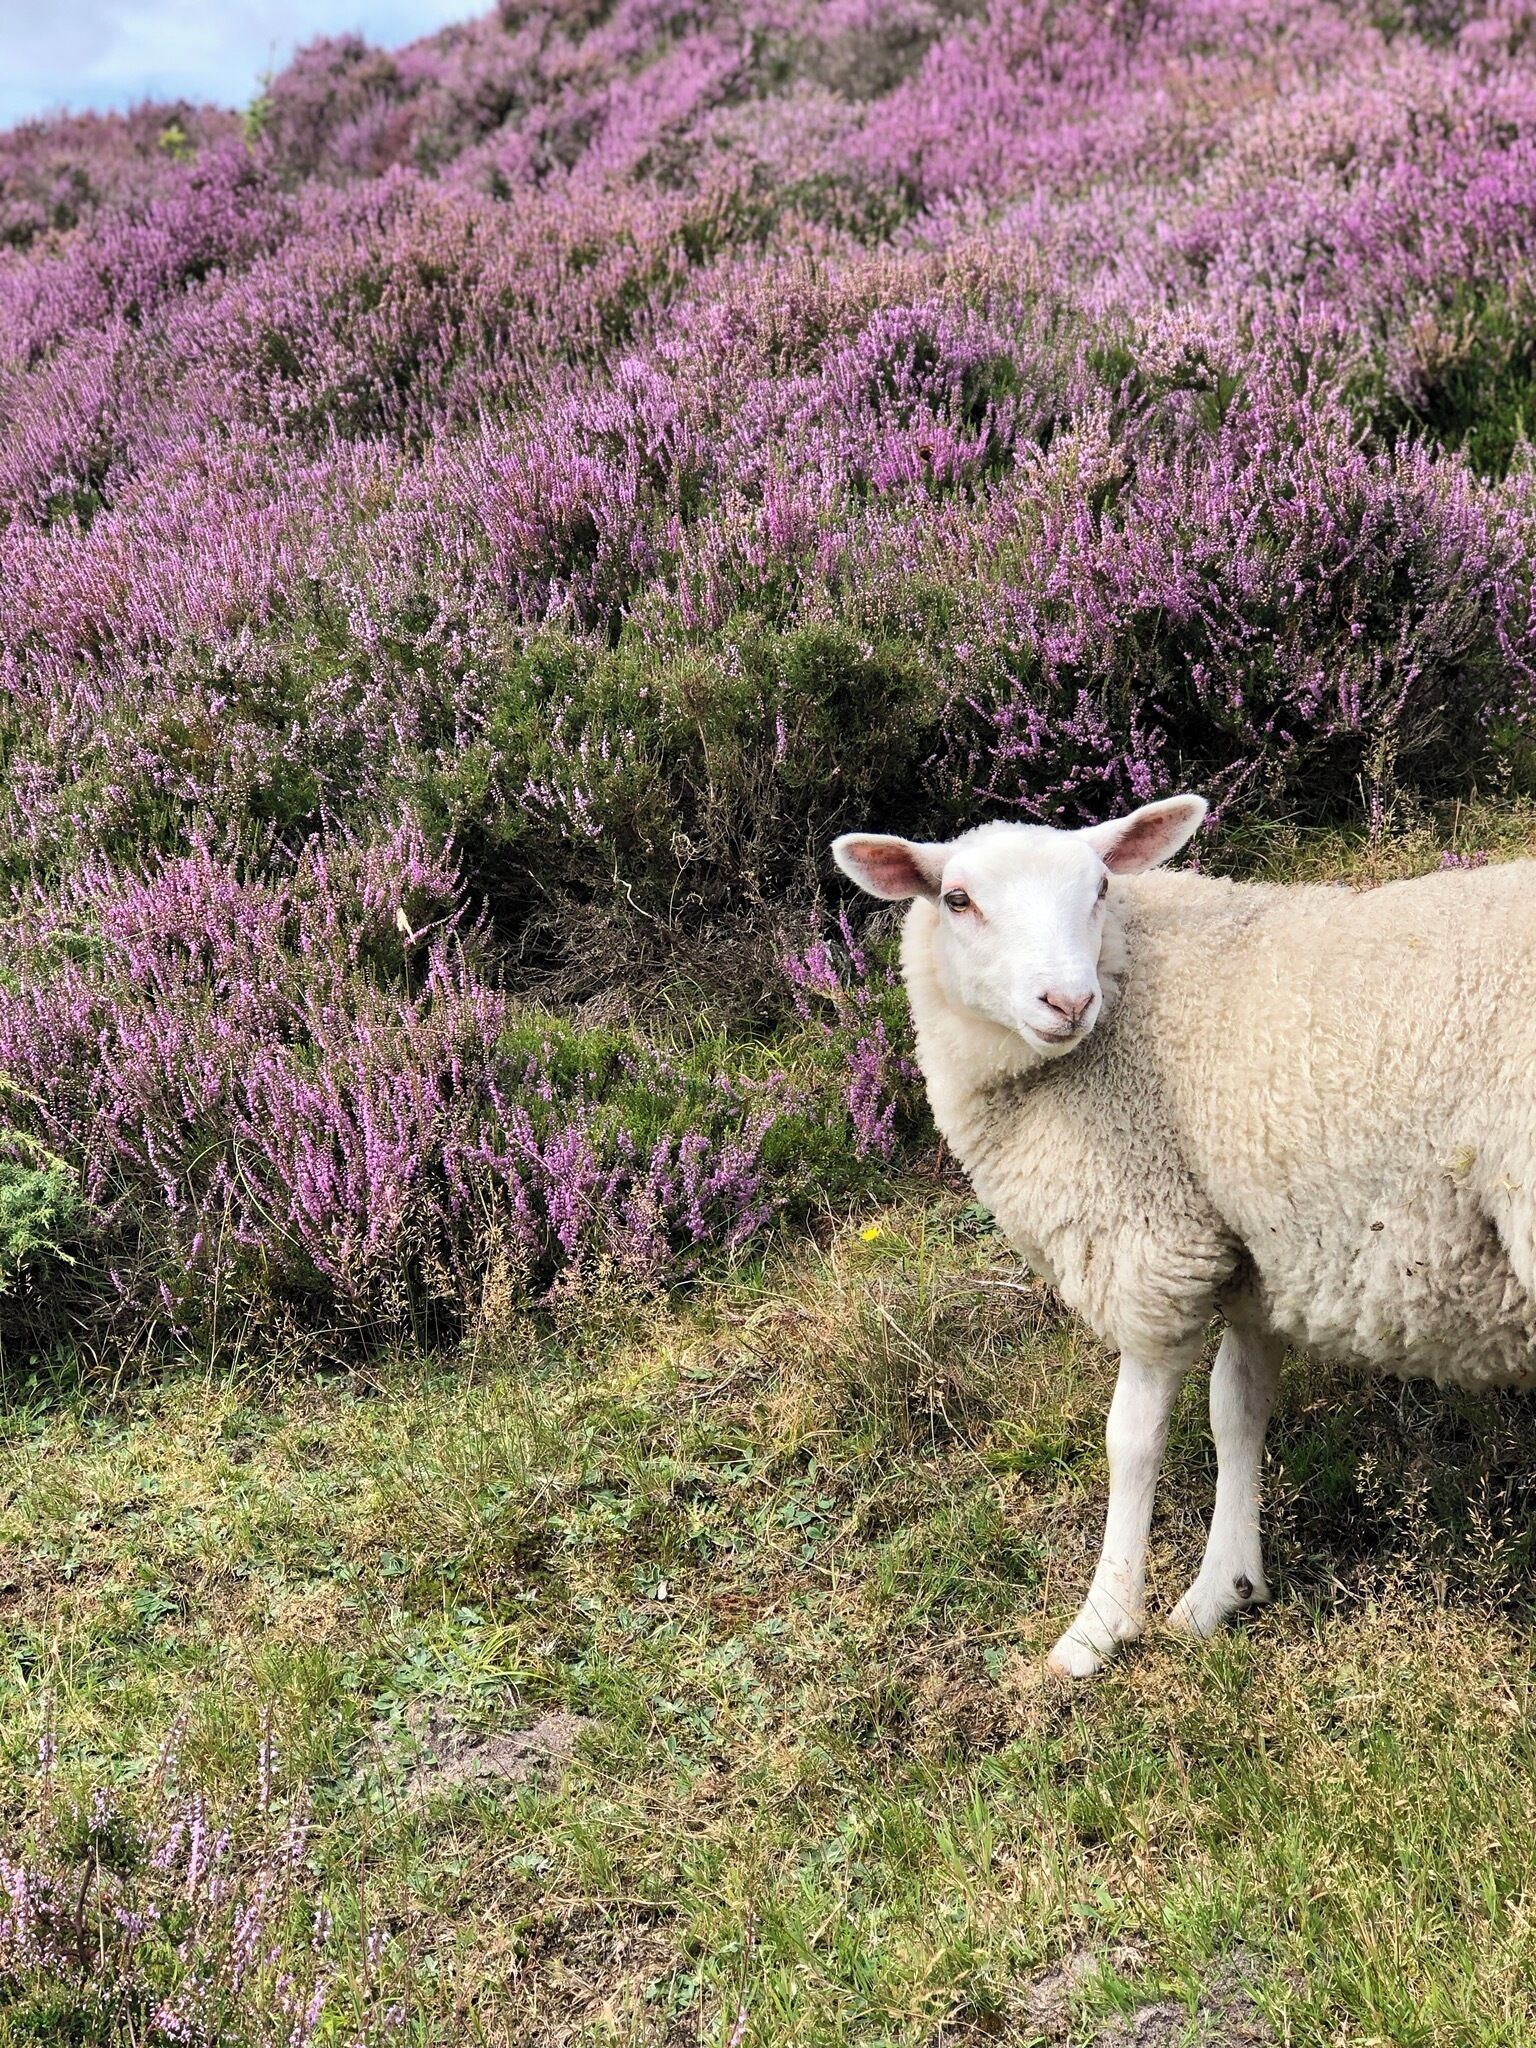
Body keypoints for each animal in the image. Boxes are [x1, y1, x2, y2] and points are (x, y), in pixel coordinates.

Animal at [832, 796, 1536, 1677]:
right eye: (957, 900)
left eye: (1100, 887)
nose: (1068, 1002)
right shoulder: (1257, 1253)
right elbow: (1237, 1408)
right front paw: (1225, 1590)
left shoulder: (1150, 1245)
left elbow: (1131, 1441)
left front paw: (1099, 1627)